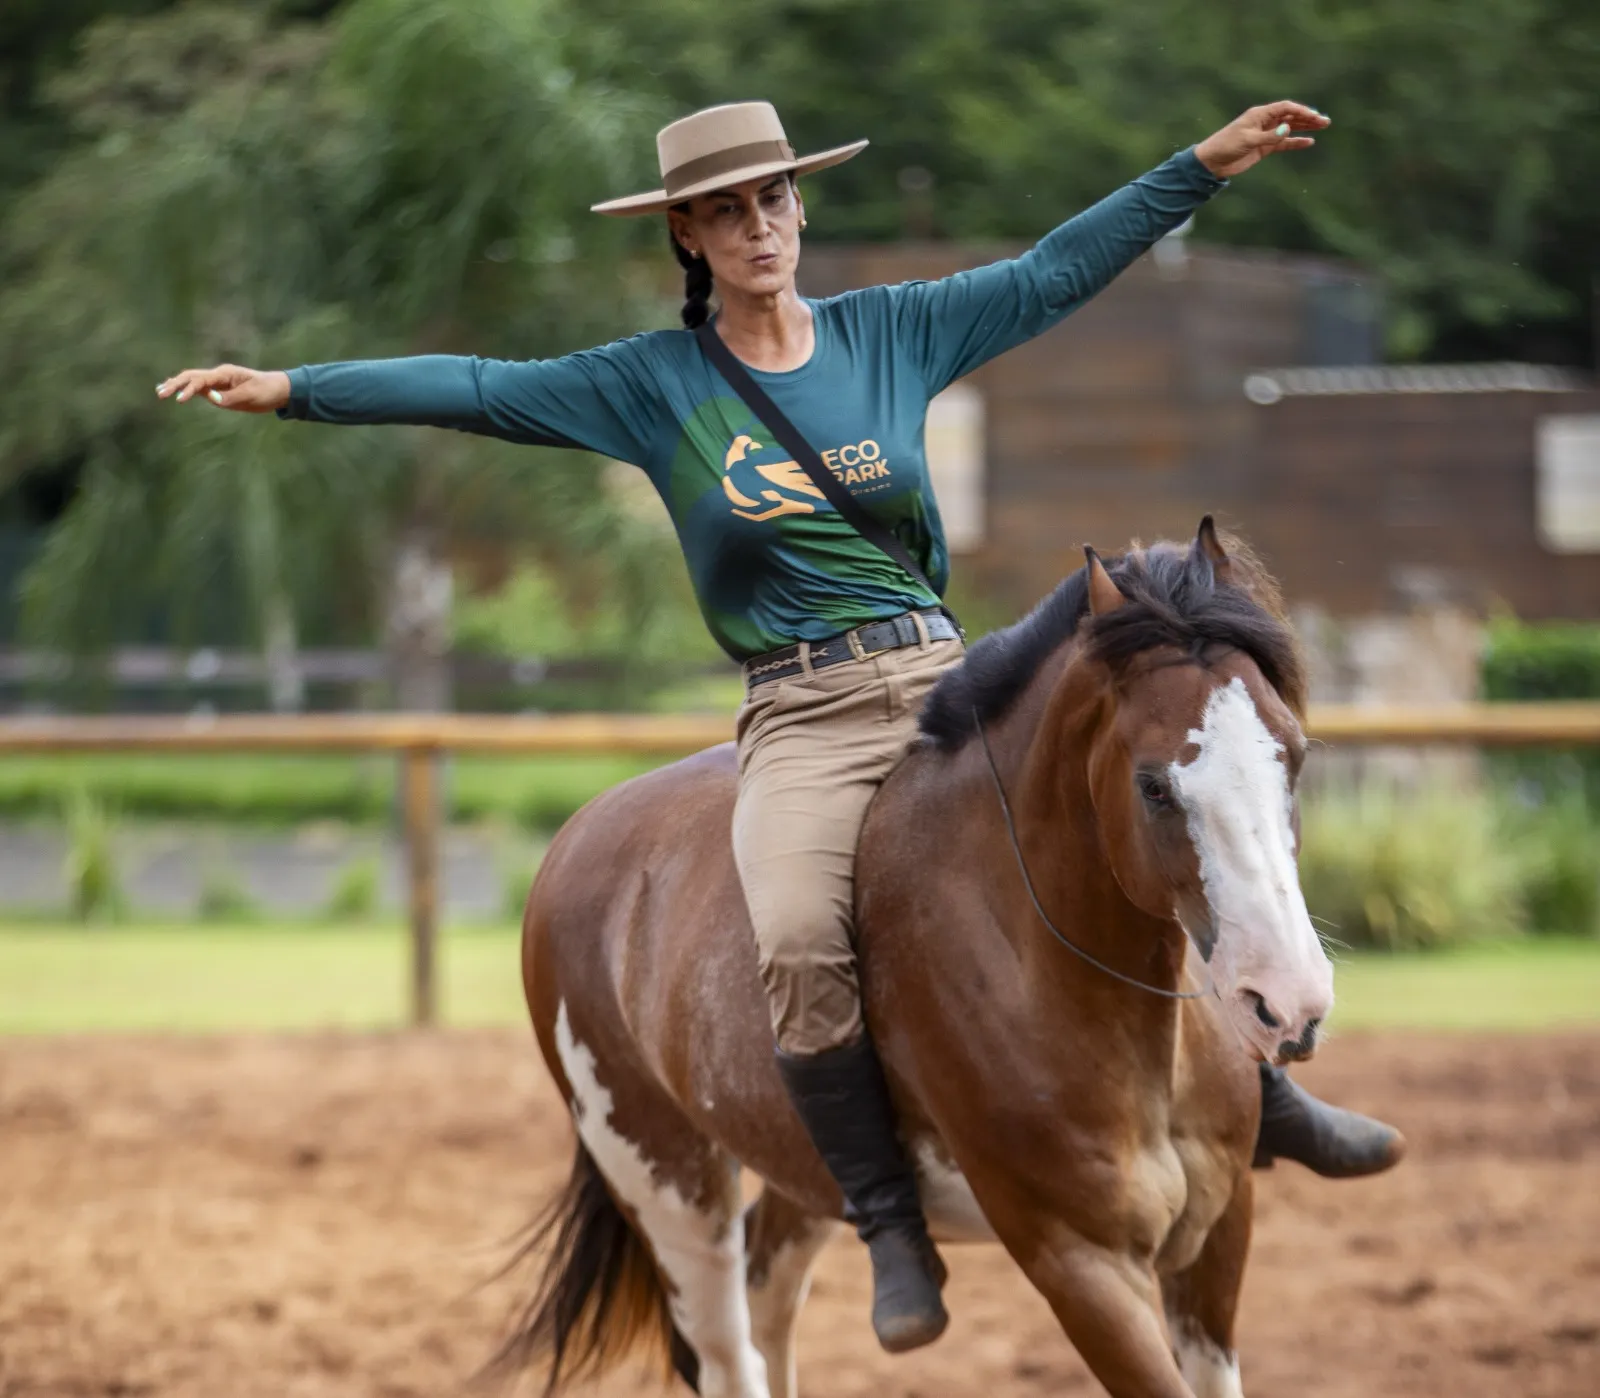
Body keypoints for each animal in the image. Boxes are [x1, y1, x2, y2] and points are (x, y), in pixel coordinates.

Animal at [502, 519, 1332, 1398]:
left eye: (1293, 754)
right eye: (1153, 786)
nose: (1289, 1002)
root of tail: (579, 835)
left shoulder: (1217, 1237)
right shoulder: (1082, 1266)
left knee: (770, 1293)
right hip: (663, 1181)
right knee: (728, 1350)